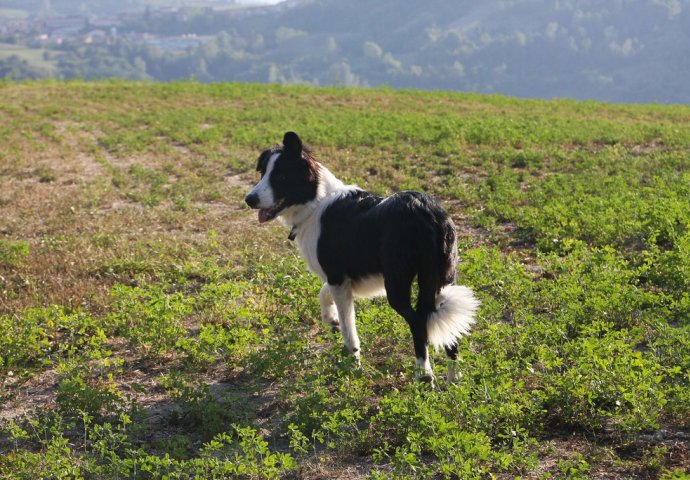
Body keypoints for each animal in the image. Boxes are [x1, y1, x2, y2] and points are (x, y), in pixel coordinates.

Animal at [243, 130, 478, 382]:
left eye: (280, 176)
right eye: (262, 173)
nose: (249, 199)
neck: (315, 202)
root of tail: (428, 211)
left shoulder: (338, 278)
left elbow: (349, 329)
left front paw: (353, 364)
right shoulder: (343, 279)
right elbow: (324, 293)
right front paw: (330, 319)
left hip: (397, 285)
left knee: (418, 322)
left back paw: (424, 375)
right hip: (442, 279)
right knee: (450, 330)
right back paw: (454, 378)